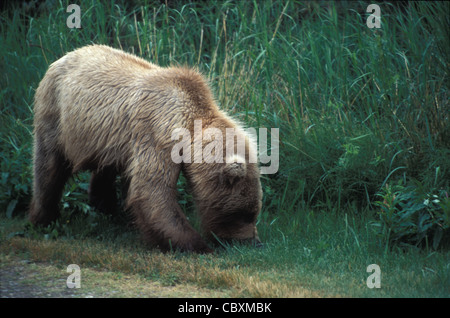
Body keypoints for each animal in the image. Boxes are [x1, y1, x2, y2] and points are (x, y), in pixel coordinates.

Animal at [29, 44, 262, 253]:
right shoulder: (158, 134)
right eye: (246, 213)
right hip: (56, 114)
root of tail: (63, 57)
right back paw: (43, 218)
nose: (251, 241)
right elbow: (152, 190)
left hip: (107, 139)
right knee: (48, 167)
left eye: (253, 211)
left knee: (104, 170)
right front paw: (198, 245)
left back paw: (107, 209)